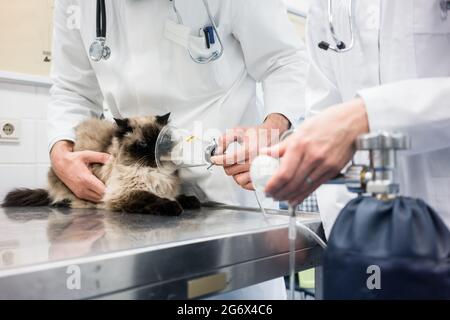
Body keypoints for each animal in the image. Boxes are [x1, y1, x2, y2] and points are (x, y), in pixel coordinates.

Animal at [0, 114, 200, 216]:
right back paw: (63, 203)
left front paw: (192, 201)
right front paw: (174, 207)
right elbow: (152, 198)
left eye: (162, 142)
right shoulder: (124, 193)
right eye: (143, 144)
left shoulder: (165, 188)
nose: (155, 154)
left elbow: (176, 196)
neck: (153, 172)